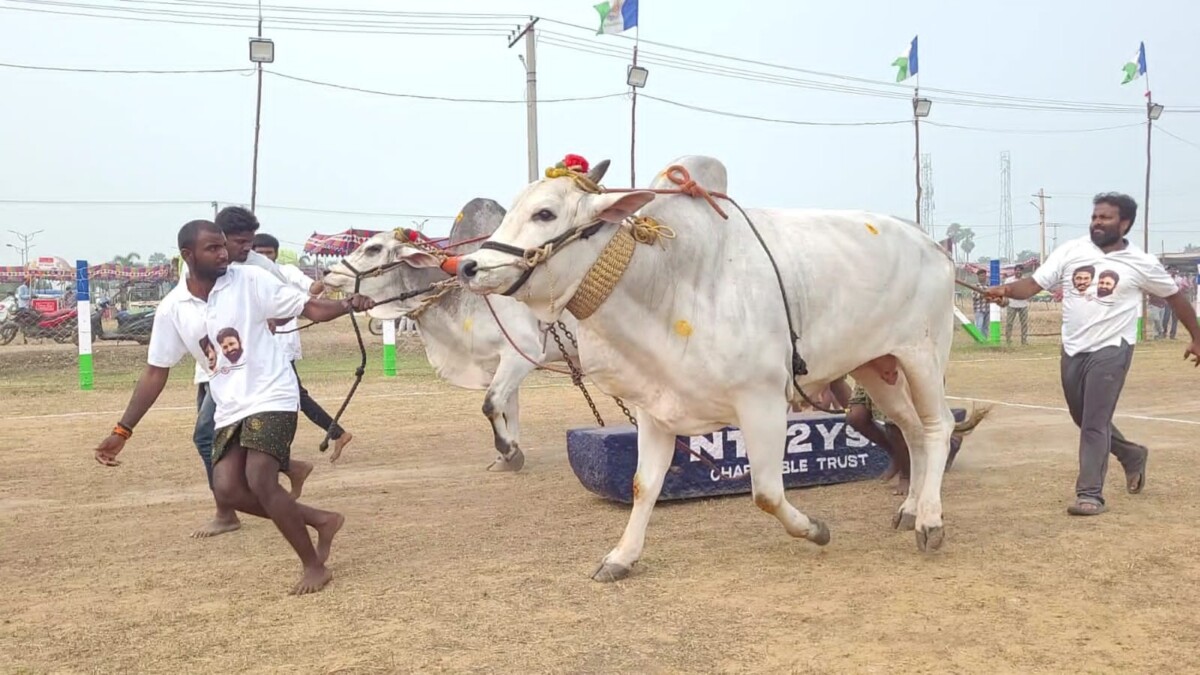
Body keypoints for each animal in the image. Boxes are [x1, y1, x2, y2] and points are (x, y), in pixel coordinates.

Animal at [319, 196, 580, 470]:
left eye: (373, 248)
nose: (327, 273)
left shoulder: (522, 353)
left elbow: (491, 404)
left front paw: (508, 451)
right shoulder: (500, 361)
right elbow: (508, 408)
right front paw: (509, 456)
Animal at [453, 153, 960, 578]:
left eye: (545, 214)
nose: (468, 267)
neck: (667, 280)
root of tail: (931, 243)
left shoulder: (762, 401)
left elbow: (767, 492)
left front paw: (815, 530)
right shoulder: (655, 409)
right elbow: (643, 485)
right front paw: (621, 557)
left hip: (923, 355)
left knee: (938, 427)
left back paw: (931, 520)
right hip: (878, 365)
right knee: (912, 430)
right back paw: (911, 508)